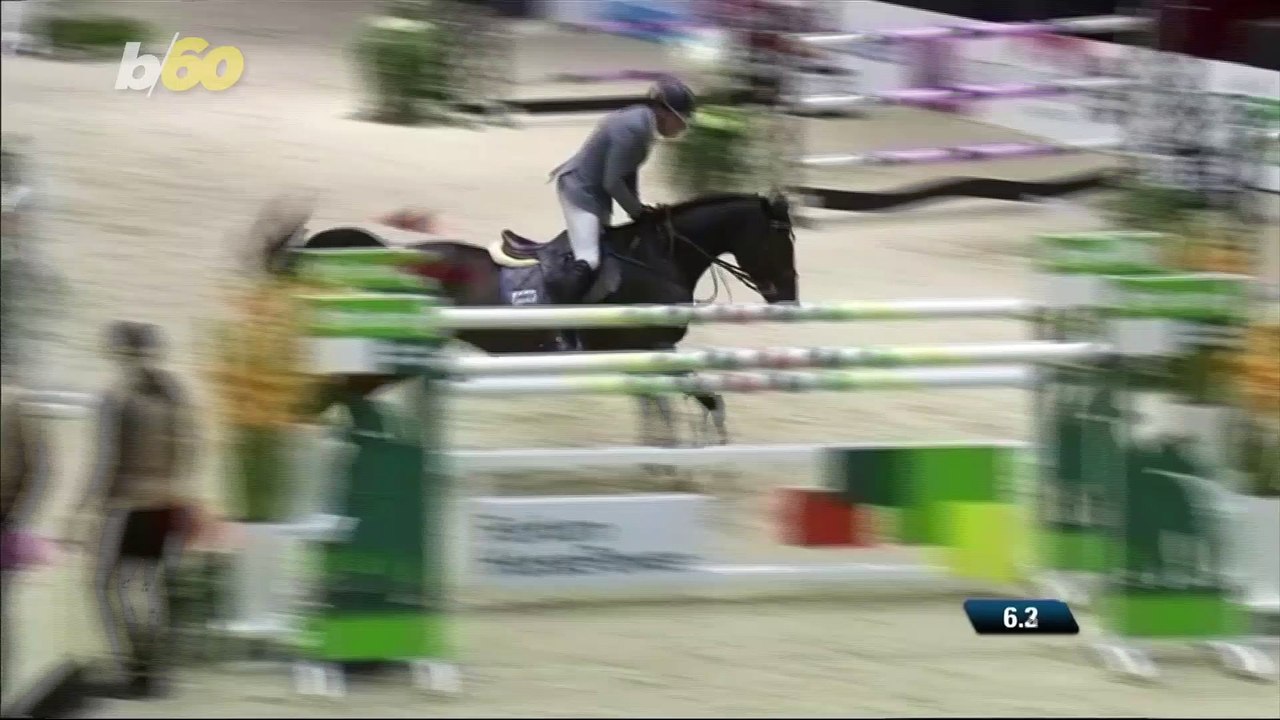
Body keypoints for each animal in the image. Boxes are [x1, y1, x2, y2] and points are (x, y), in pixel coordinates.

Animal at [268, 191, 799, 450]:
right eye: (779, 241)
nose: (789, 299)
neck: (656, 258)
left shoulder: (651, 352)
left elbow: (677, 398)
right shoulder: (643, 347)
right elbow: (687, 396)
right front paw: (702, 444)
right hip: (387, 359)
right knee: (325, 396)